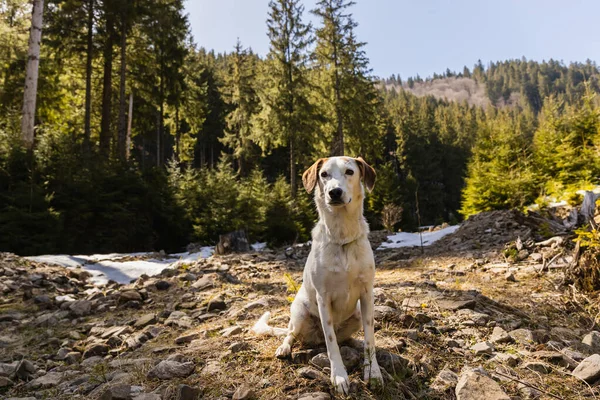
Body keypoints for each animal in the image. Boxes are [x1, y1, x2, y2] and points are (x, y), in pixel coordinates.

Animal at [252, 155, 384, 394]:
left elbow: (370, 339)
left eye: (350, 172)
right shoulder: (324, 298)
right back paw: (284, 348)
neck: (341, 238)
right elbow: (331, 344)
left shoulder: (367, 294)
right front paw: (339, 377)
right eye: (324, 174)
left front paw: (374, 372)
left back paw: (354, 342)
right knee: (292, 334)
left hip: (357, 313)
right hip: (299, 313)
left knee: (345, 339)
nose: (334, 192)